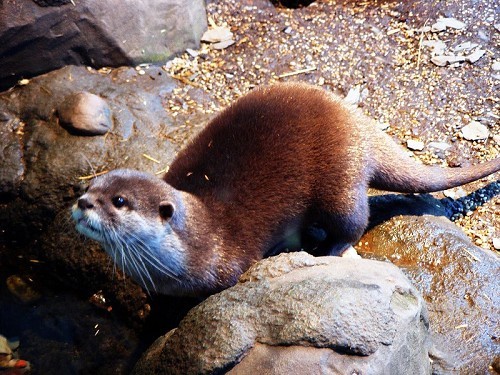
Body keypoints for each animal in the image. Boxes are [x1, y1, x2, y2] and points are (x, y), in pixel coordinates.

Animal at [72, 83, 498, 298]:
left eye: (119, 202)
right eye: (90, 186)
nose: (82, 203)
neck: (199, 242)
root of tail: (357, 122)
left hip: (338, 179)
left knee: (354, 220)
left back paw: (328, 251)